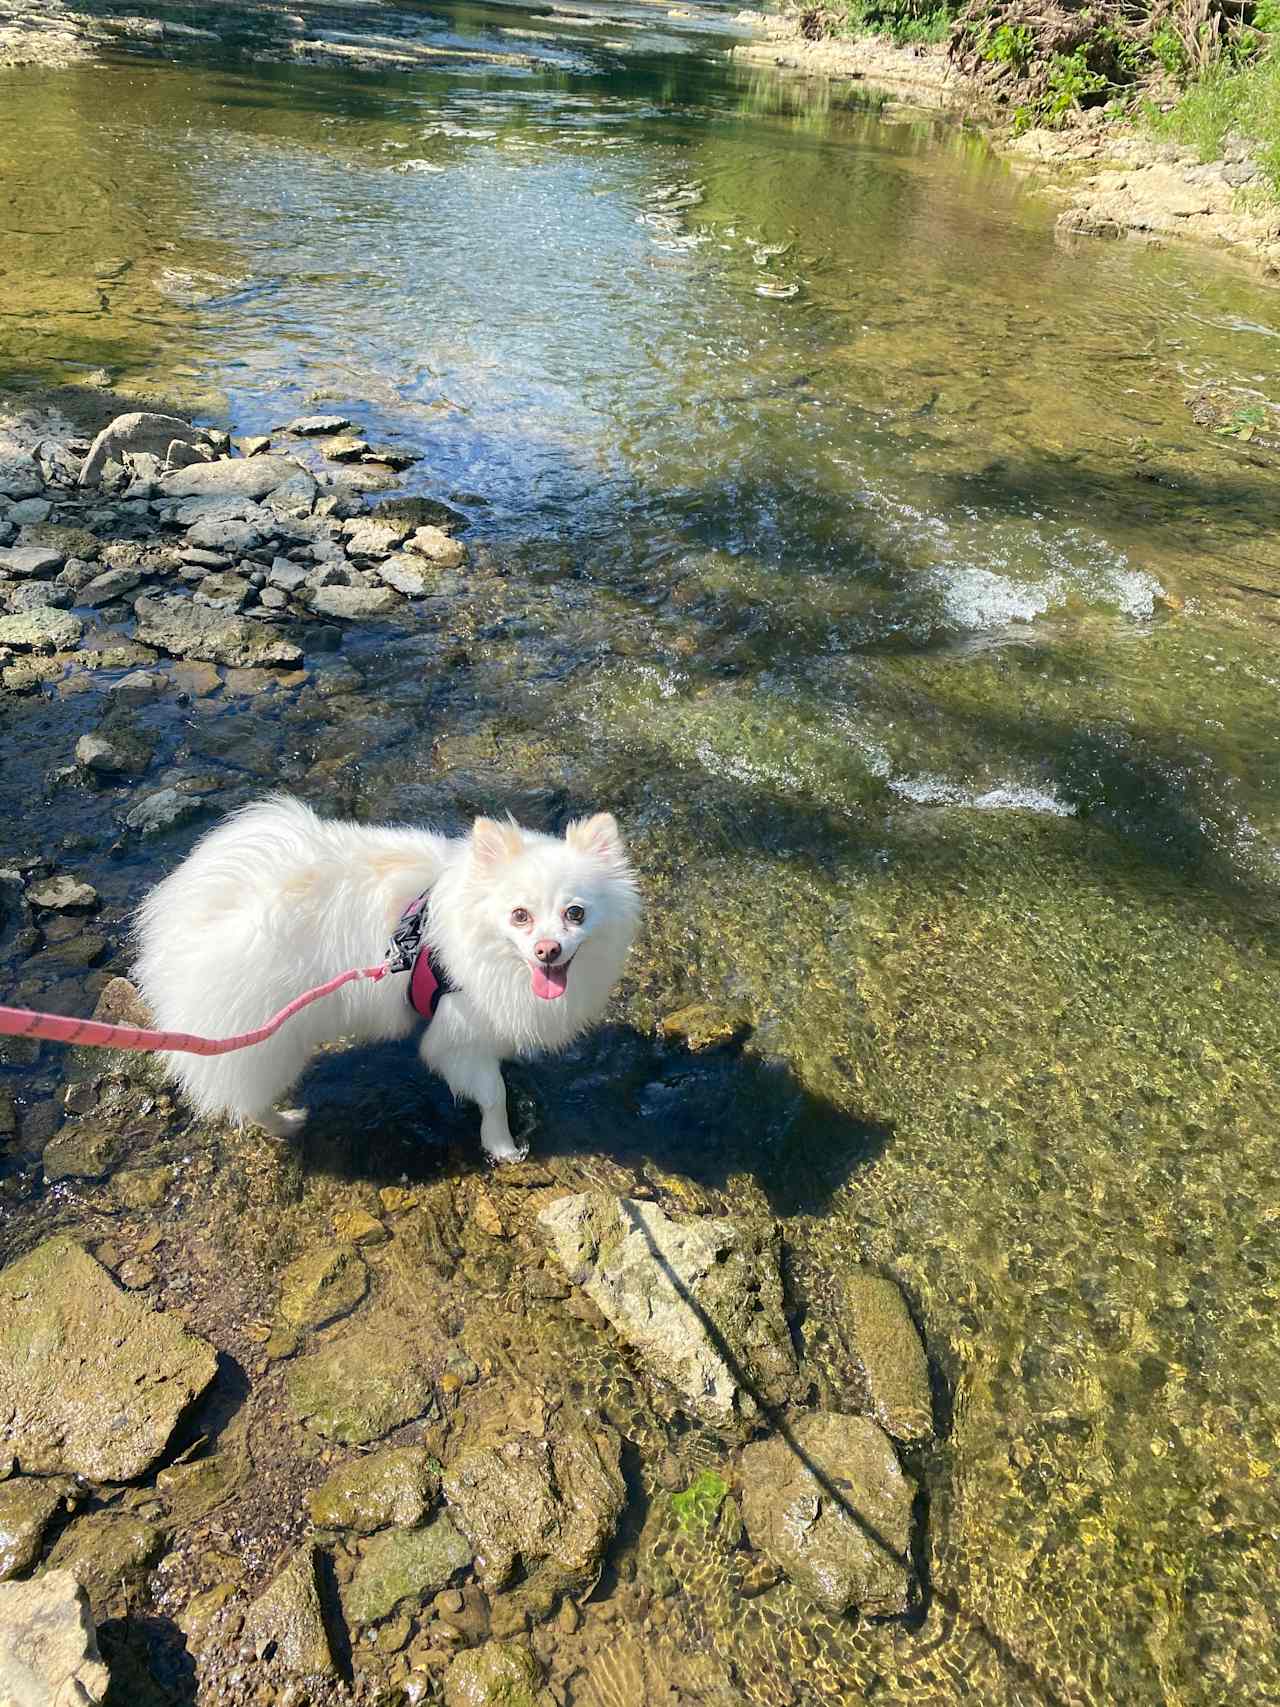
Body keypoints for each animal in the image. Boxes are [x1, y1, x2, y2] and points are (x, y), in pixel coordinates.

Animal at [133, 795, 641, 1160]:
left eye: (575, 913)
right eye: (520, 915)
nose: (547, 949)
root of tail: (200, 906)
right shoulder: (456, 1034)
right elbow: (493, 1095)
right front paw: (503, 1147)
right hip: (267, 1038)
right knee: (248, 1098)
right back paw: (287, 1122)